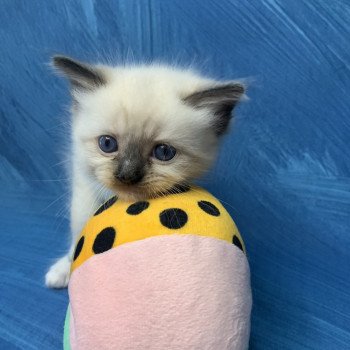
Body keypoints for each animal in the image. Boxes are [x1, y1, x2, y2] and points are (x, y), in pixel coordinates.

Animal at [45, 56, 245, 288]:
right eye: (107, 144)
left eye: (164, 152)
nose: (127, 175)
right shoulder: (85, 192)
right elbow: (78, 233)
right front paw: (63, 270)